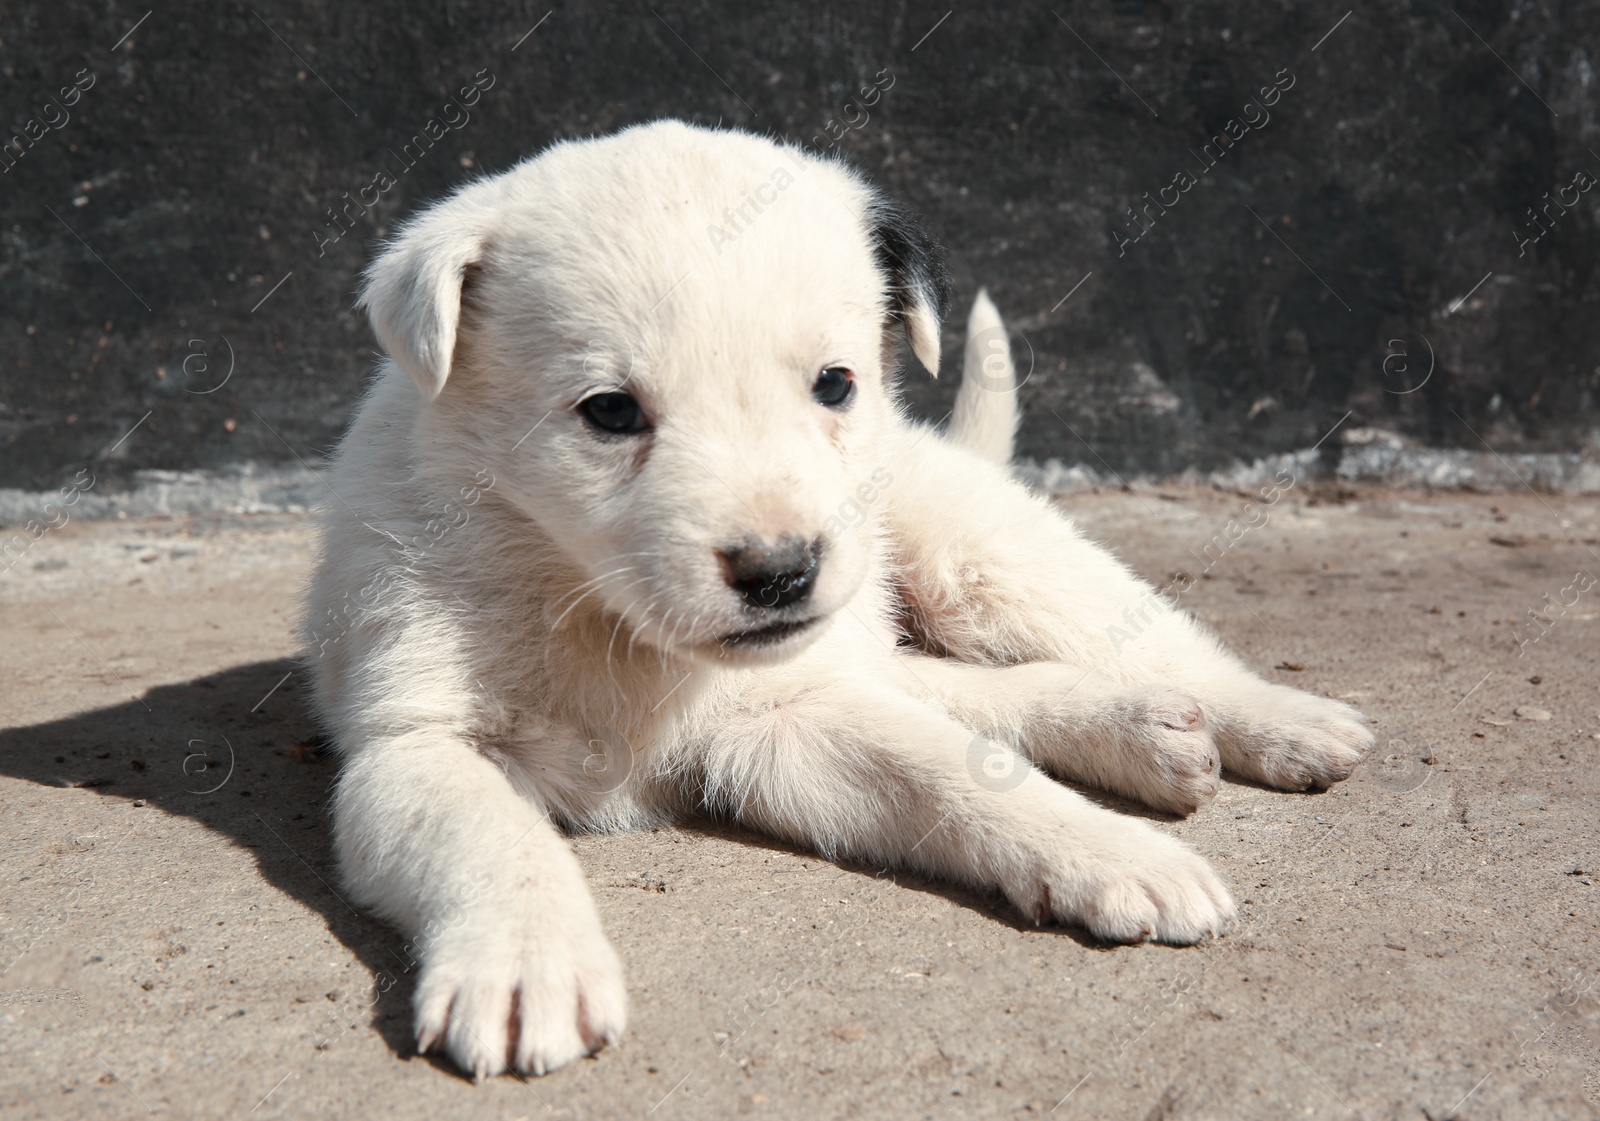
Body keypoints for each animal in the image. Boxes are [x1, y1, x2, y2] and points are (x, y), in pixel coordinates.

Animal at [302, 119, 1376, 1074]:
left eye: (834, 384)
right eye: (608, 412)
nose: (781, 571)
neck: (599, 611)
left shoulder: (787, 716)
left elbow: (952, 772)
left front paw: (1108, 848)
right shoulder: (418, 745)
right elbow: (492, 835)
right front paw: (528, 966)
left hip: (975, 553)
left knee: (1141, 643)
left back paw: (1272, 720)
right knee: (956, 689)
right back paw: (1145, 730)